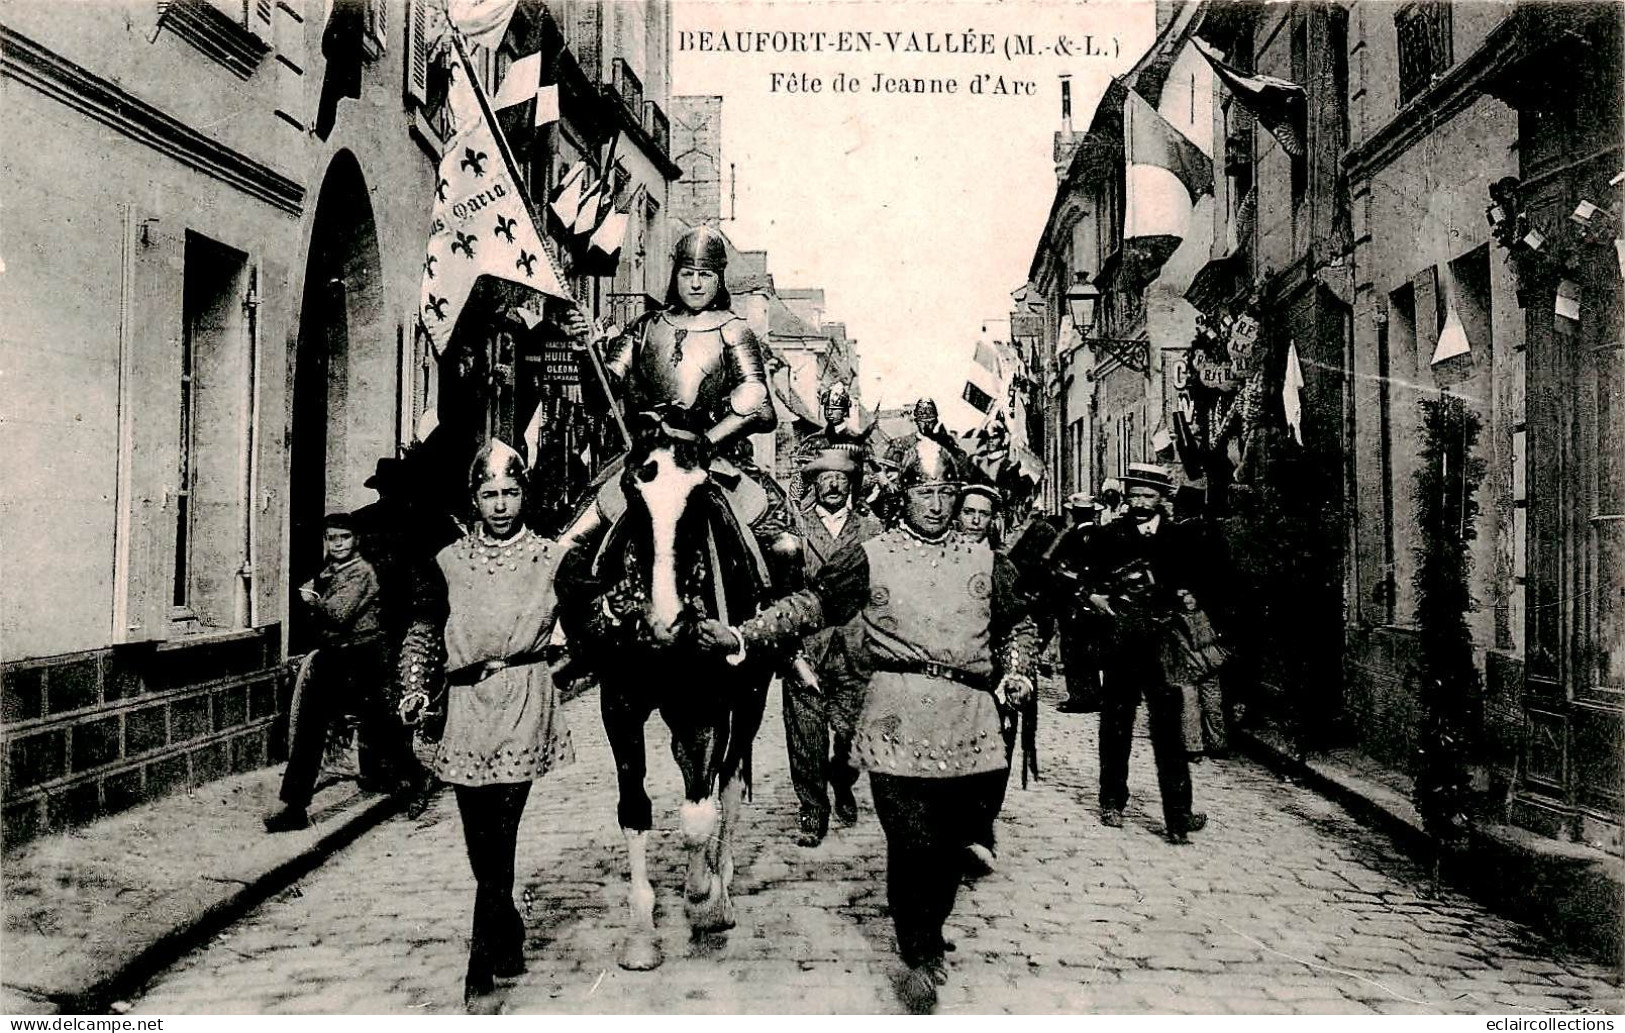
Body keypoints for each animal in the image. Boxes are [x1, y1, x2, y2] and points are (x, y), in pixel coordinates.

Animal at [555, 409, 776, 968]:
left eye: (700, 494)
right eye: (633, 491)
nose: (665, 625)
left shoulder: (709, 705)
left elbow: (699, 812)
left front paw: (704, 901)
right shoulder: (620, 705)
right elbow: (635, 809)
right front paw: (640, 935)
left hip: (752, 697)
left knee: (728, 783)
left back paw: (721, 880)